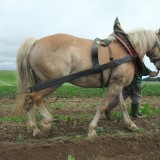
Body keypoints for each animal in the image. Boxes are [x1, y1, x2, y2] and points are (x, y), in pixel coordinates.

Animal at [14, 26, 160, 139]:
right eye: (159, 43)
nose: (158, 67)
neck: (127, 50)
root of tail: (35, 42)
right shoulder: (115, 85)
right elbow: (102, 106)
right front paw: (92, 130)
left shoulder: (117, 84)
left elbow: (122, 106)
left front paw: (131, 125)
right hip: (53, 82)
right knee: (35, 97)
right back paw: (46, 124)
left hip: (40, 82)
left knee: (29, 101)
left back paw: (33, 129)